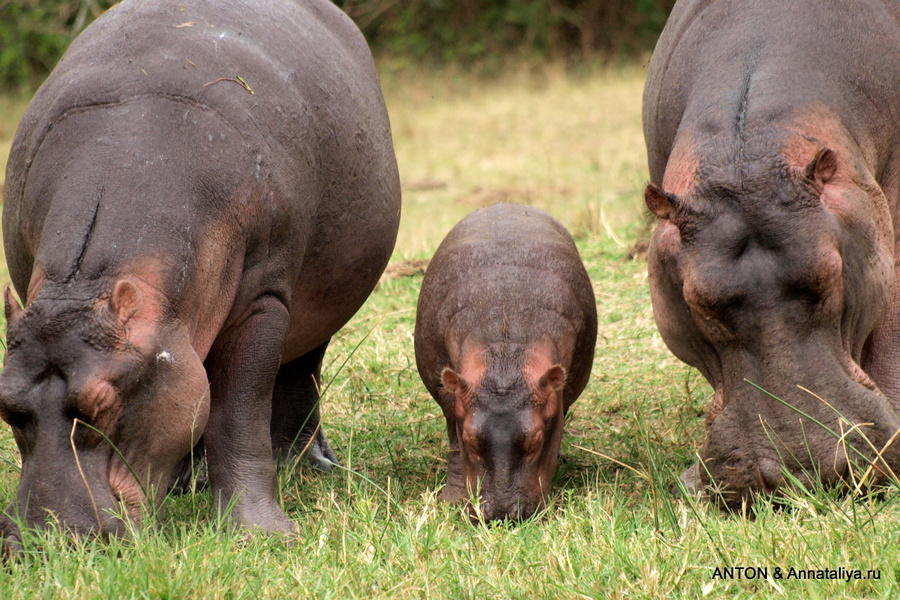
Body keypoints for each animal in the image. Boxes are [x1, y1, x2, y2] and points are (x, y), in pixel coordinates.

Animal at [0, 0, 400, 548]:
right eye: (4, 402)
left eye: (103, 402)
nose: (47, 541)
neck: (83, 284)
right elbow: (200, 401)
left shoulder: (263, 301)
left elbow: (239, 412)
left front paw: (264, 535)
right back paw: (189, 480)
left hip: (317, 307)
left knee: (301, 373)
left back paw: (305, 464)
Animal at [414, 203, 596, 520]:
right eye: (470, 438)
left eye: (536, 439)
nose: (501, 513)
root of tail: (509, 204)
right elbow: (454, 444)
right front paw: (452, 501)